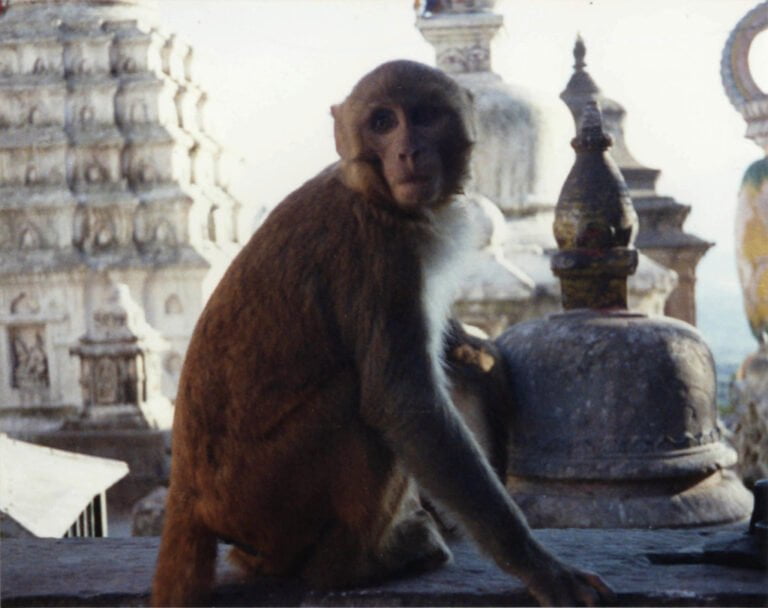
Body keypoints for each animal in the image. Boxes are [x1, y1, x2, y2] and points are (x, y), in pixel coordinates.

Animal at [151, 60, 614, 607]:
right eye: (382, 122)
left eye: (425, 116)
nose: (407, 151)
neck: (372, 192)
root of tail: (187, 498)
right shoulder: (381, 254)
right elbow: (405, 404)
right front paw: (540, 568)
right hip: (262, 494)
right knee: (358, 401)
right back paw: (354, 567)